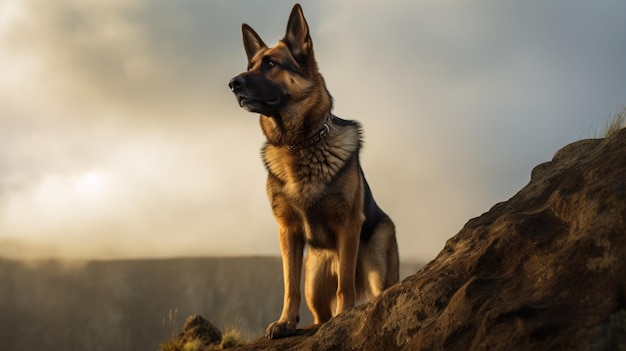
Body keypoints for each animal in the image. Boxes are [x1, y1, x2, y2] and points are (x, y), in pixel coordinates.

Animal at [227, 3, 398, 340]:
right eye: (250, 65)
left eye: (271, 63)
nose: (233, 84)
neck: (299, 144)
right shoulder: (288, 232)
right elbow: (289, 285)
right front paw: (285, 322)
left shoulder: (348, 225)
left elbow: (345, 283)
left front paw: (344, 315)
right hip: (314, 286)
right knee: (320, 314)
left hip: (379, 264)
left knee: (367, 289)